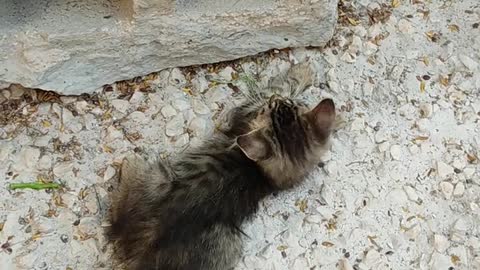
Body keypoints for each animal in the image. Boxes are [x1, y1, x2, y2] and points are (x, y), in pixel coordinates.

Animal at [109, 64, 336, 268]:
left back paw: (128, 162)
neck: (260, 173)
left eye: (272, 106)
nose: (274, 100)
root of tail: (141, 246)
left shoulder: (246, 111)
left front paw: (300, 71)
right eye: (285, 104)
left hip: (160, 179)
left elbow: (280, 85)